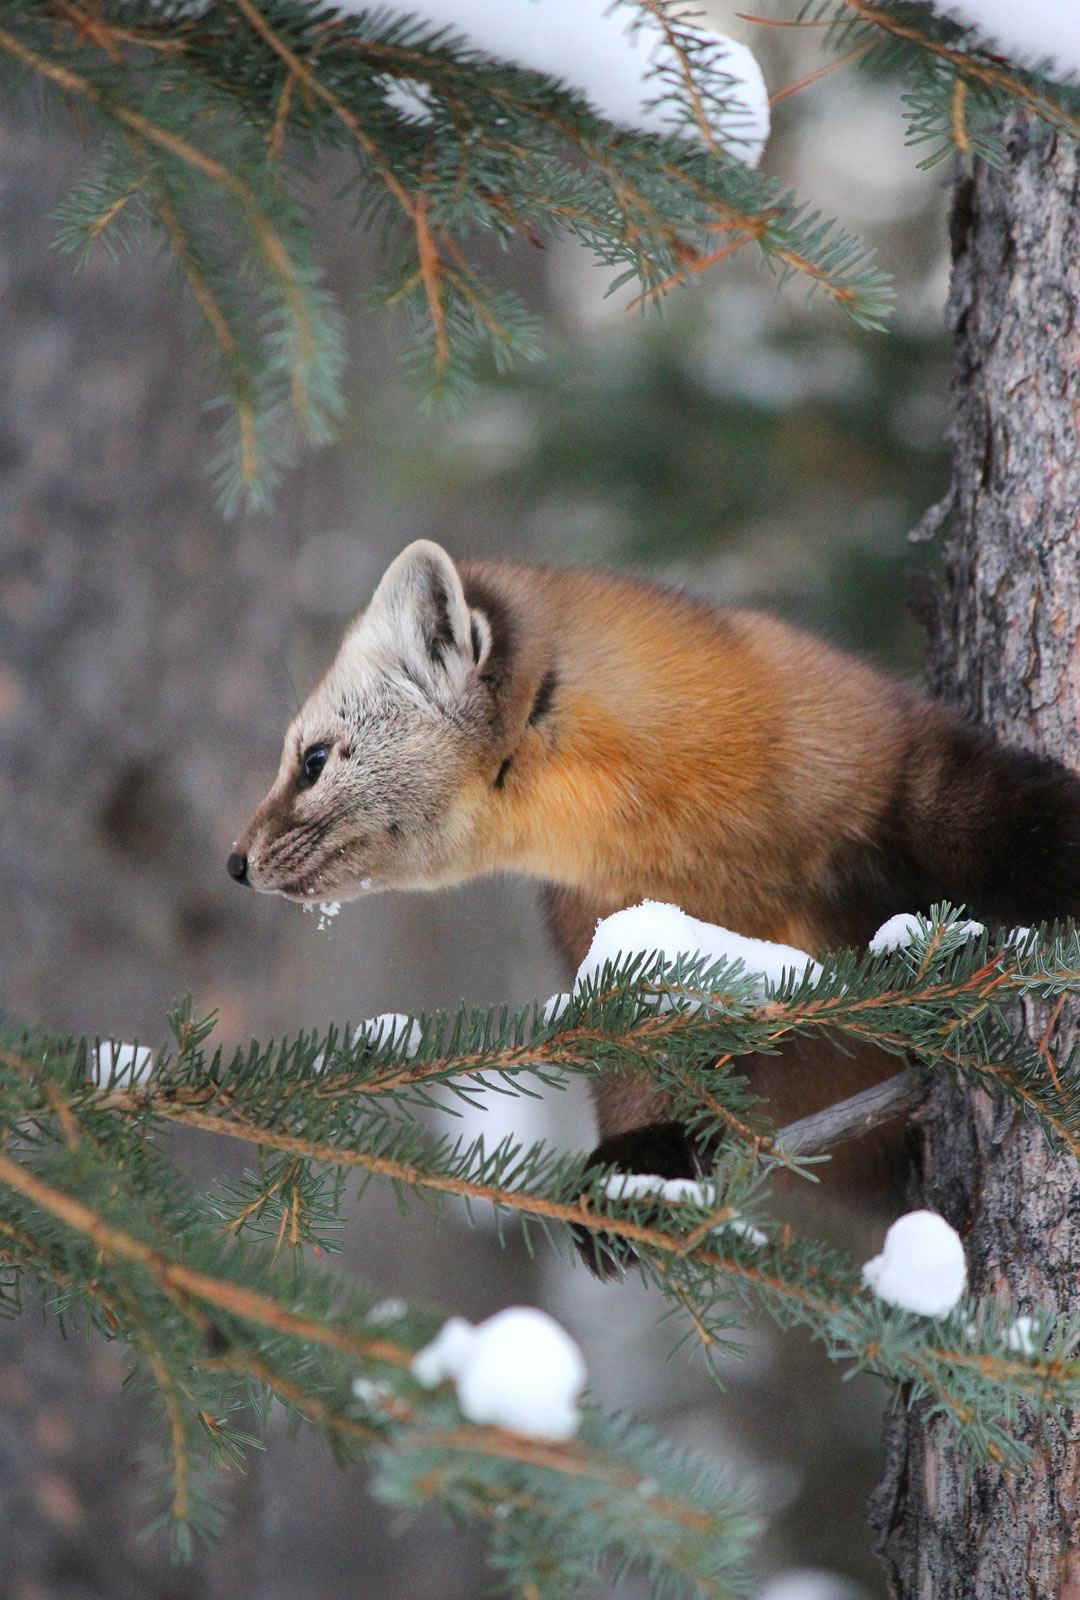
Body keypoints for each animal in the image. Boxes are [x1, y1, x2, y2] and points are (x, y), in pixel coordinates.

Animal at [228, 540, 1080, 1265]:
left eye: (312, 758)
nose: (235, 861)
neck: (714, 857)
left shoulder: (877, 747)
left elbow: (981, 812)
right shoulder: (609, 932)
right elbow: (635, 1060)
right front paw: (629, 1177)